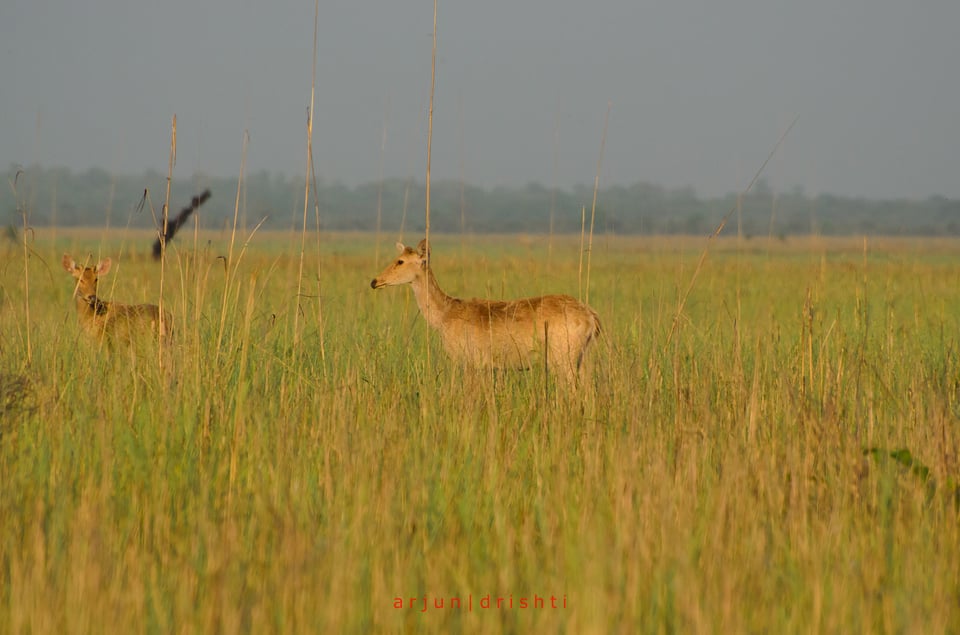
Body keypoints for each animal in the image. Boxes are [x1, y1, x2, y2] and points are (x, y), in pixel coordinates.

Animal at [370, 240, 600, 386]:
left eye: (400, 261)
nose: (375, 281)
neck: (444, 315)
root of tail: (592, 318)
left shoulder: (470, 363)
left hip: (563, 359)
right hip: (583, 358)